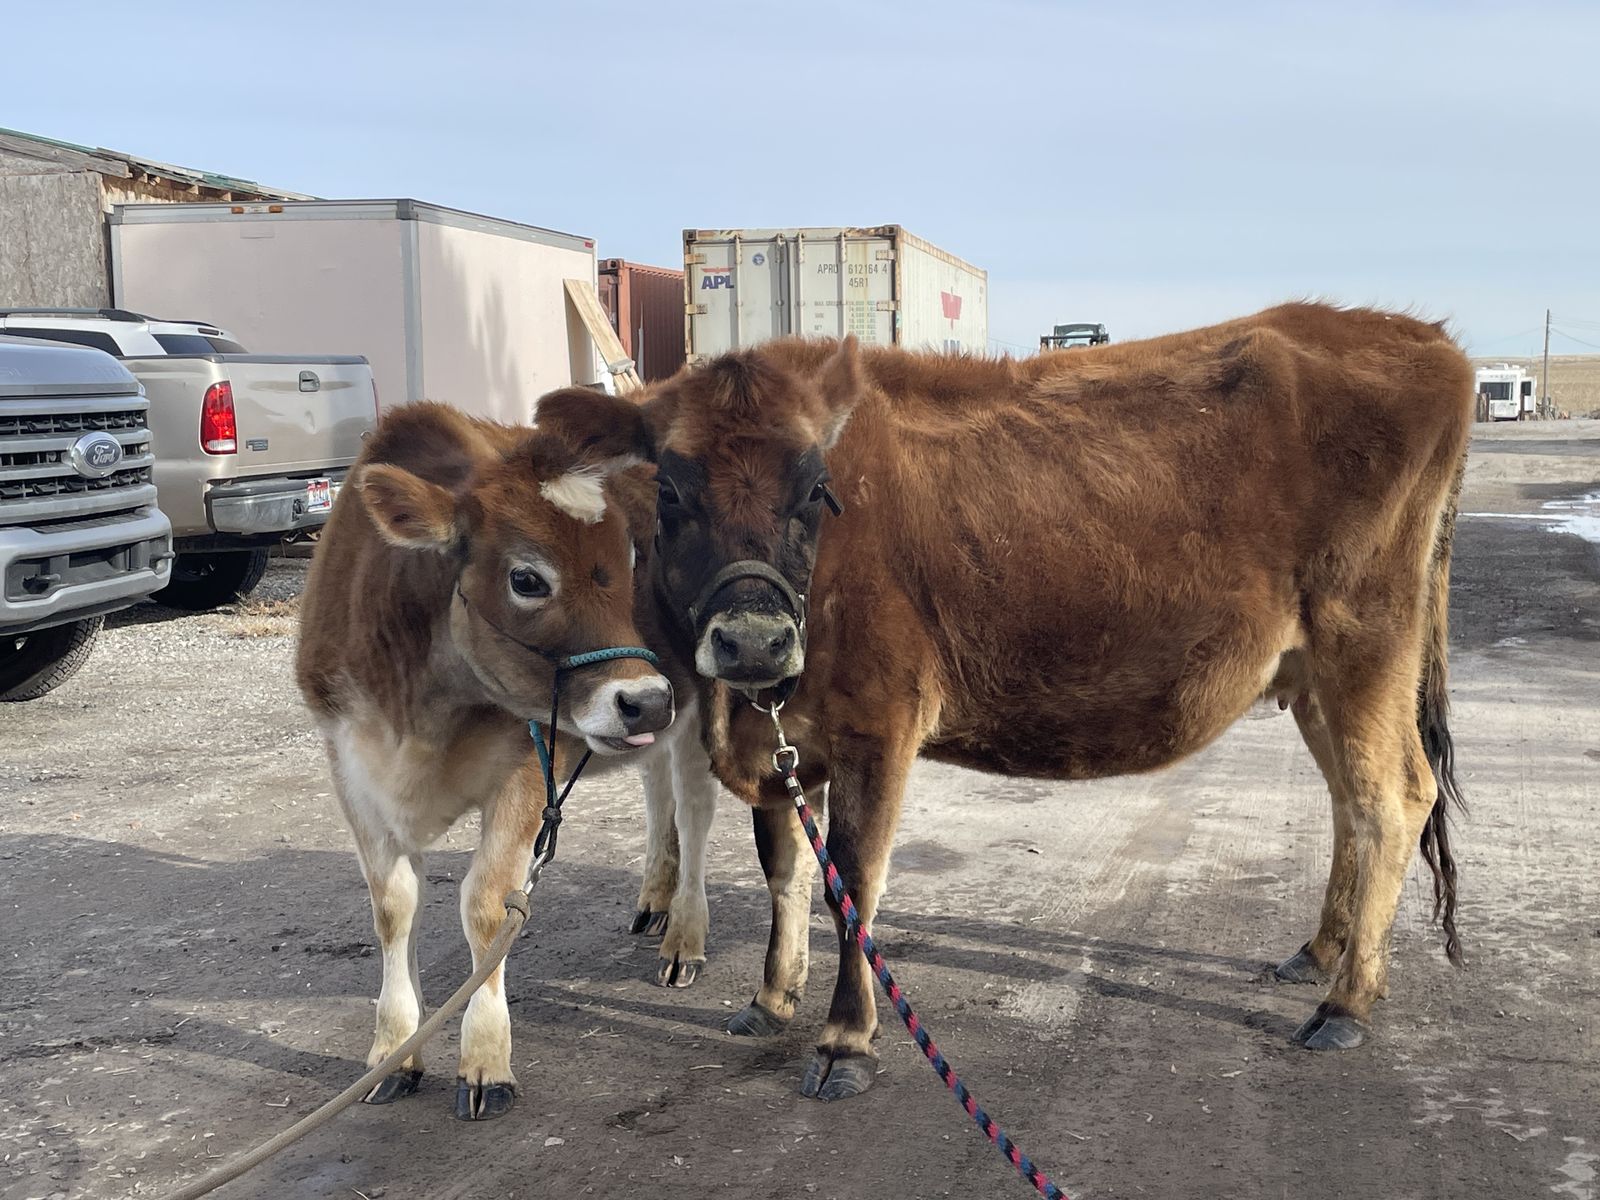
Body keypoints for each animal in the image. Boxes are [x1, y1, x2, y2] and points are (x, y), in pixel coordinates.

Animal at [295, 399, 675, 1120]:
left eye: (633, 559)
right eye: (526, 578)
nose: (646, 701)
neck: (421, 710)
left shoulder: (530, 761)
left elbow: (487, 904)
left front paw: (484, 1058)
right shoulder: (350, 765)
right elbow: (394, 906)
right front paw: (395, 1050)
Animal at [537, 302, 1475, 1102]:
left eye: (814, 489)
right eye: (670, 491)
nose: (754, 641)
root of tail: (1425, 339)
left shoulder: (880, 723)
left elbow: (855, 881)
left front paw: (845, 1039)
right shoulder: (776, 737)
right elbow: (786, 868)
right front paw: (771, 998)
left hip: (1365, 639)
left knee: (1394, 798)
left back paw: (1346, 1001)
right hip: (1312, 671)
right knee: (1350, 801)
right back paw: (1320, 953)